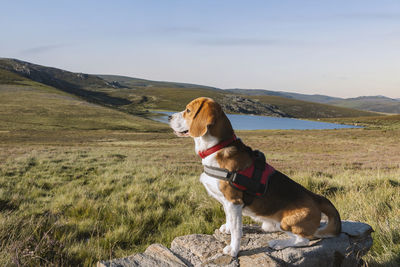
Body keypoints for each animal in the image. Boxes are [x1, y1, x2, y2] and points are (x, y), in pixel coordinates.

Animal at [169, 98, 340, 258]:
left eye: (188, 110)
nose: (169, 117)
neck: (217, 147)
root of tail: (316, 197)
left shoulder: (234, 202)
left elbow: (237, 230)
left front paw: (233, 249)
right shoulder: (227, 203)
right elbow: (229, 219)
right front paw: (227, 228)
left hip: (287, 223)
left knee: (303, 240)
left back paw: (278, 243)